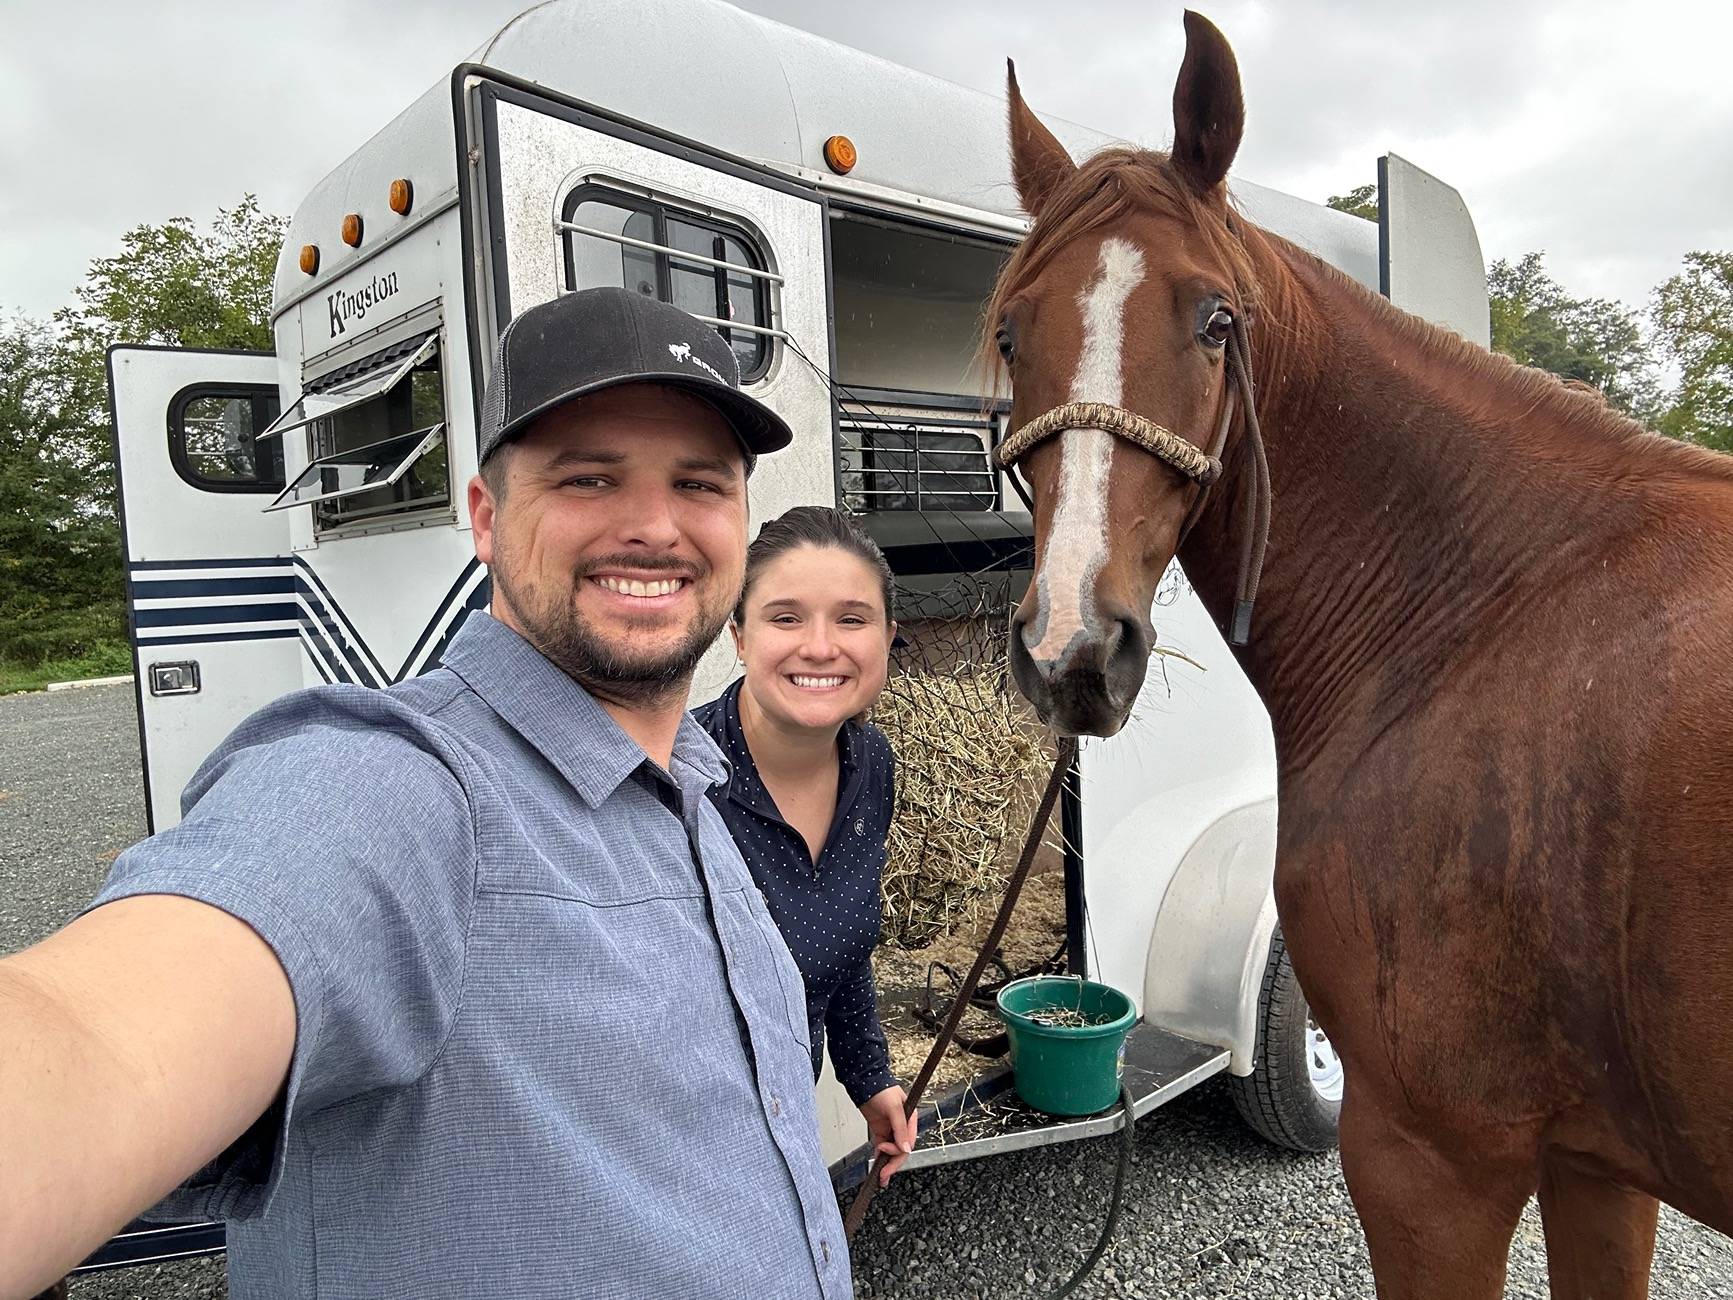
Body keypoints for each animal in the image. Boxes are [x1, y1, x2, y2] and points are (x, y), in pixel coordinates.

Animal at [991, 10, 1733, 1300]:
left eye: (1215, 320)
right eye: (1006, 329)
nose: (1071, 645)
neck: (1481, 614)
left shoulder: (1429, 1161)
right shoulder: (1595, 1162)